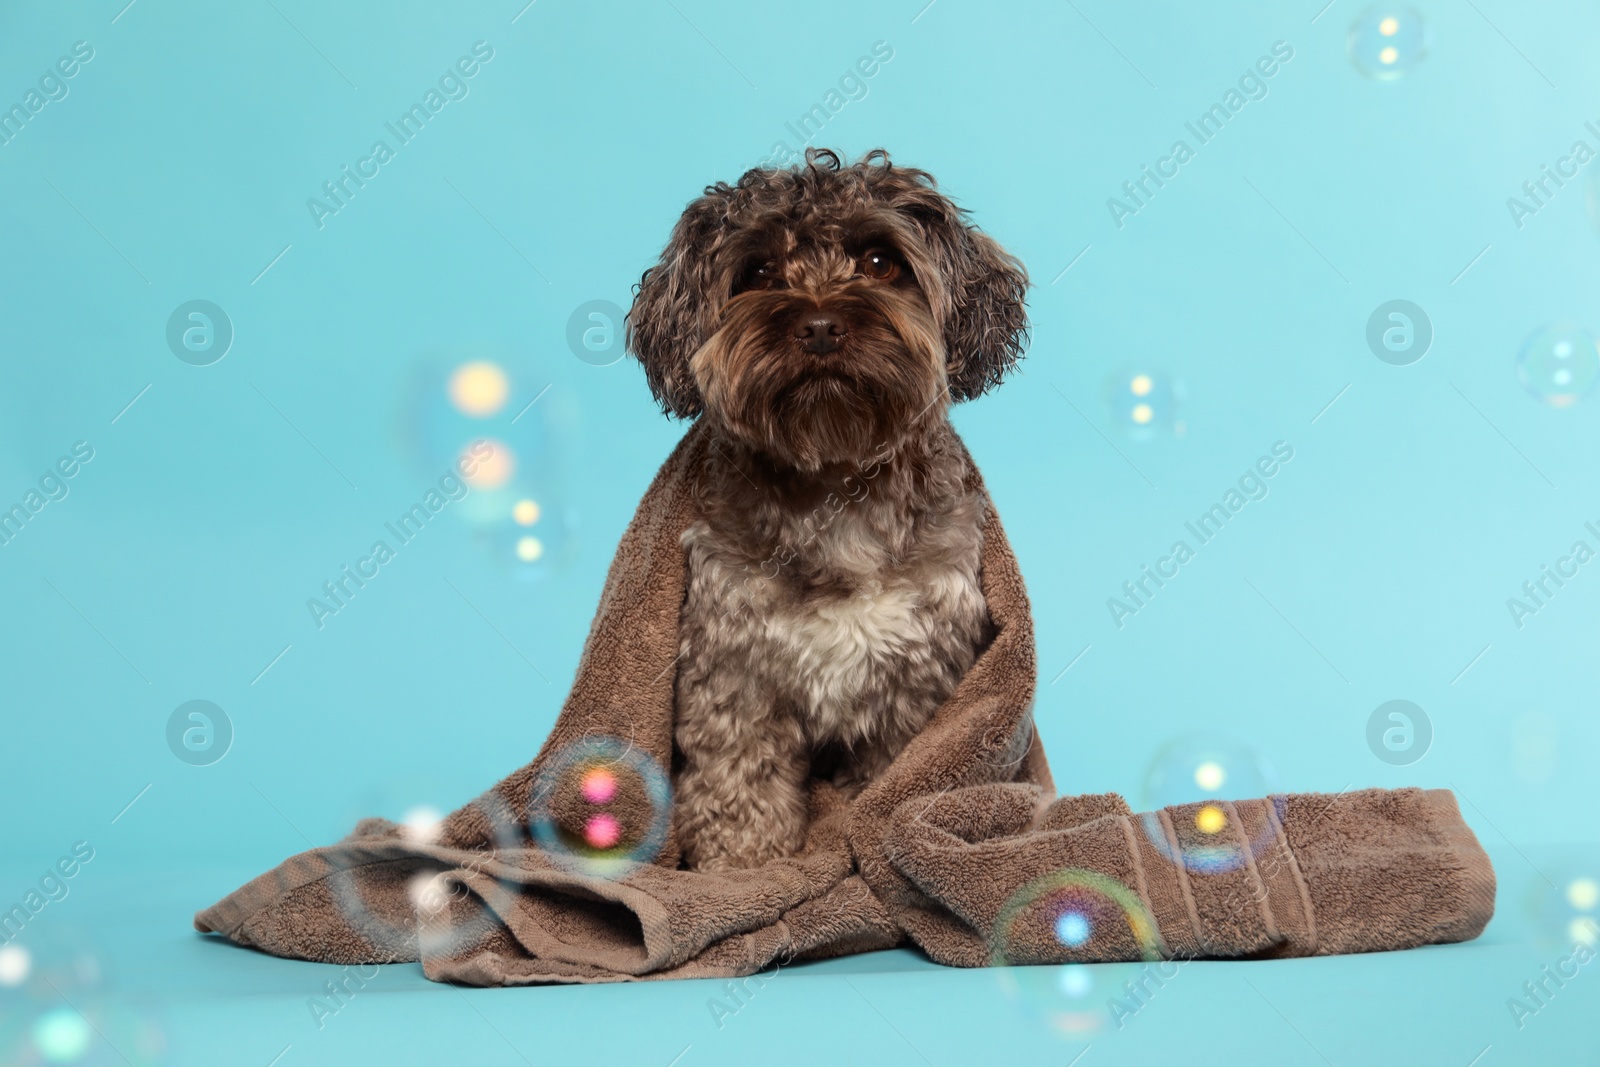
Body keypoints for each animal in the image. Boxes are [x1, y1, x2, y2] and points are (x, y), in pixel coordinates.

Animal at [624, 146, 1024, 870]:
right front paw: (741, 870)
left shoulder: (921, 681)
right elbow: (738, 783)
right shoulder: (734, 672)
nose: (818, 325)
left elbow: (903, 780)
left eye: (881, 261)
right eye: (757, 271)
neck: (835, 481)